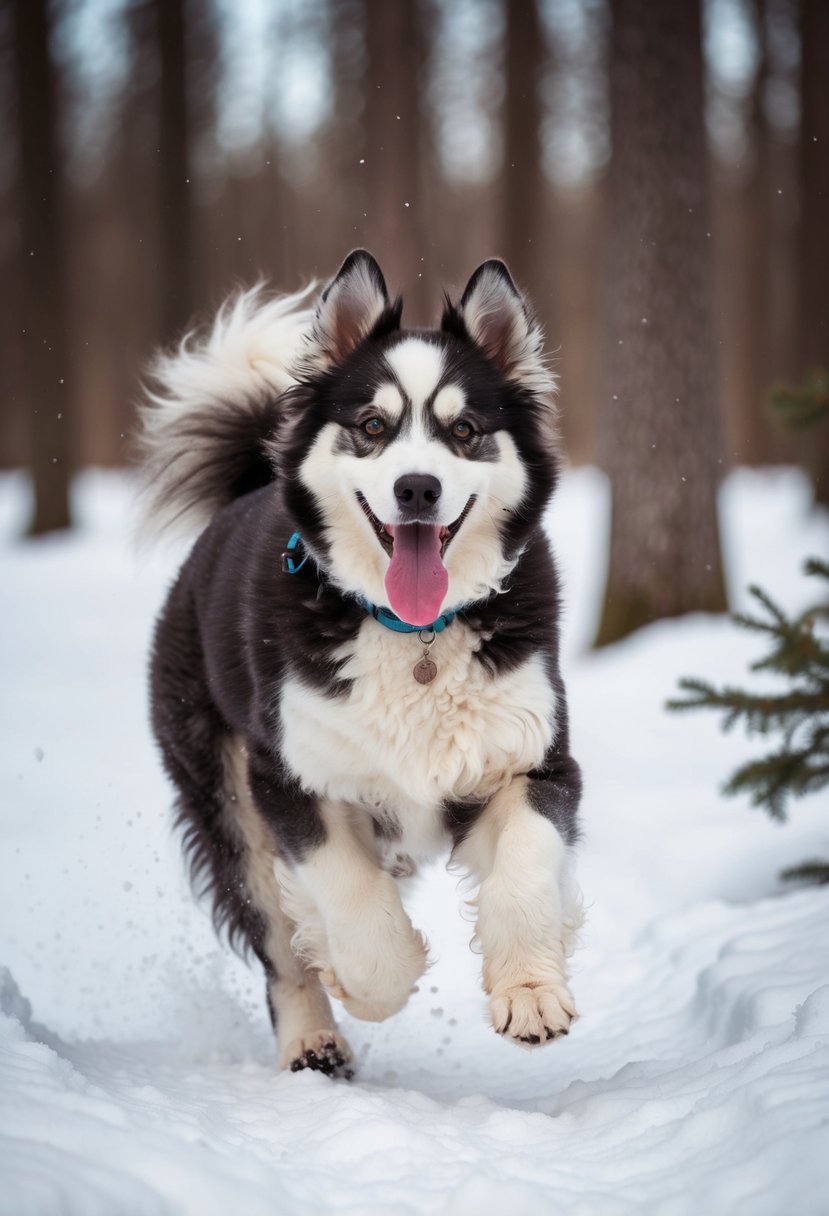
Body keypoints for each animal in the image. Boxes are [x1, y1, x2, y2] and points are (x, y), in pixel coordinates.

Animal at [138, 251, 581, 1079]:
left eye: (464, 430)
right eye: (373, 427)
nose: (417, 488)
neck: (416, 638)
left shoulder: (531, 758)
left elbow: (526, 863)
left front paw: (530, 990)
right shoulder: (287, 779)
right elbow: (347, 900)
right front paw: (371, 980)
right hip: (225, 799)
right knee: (277, 944)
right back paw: (311, 1040)